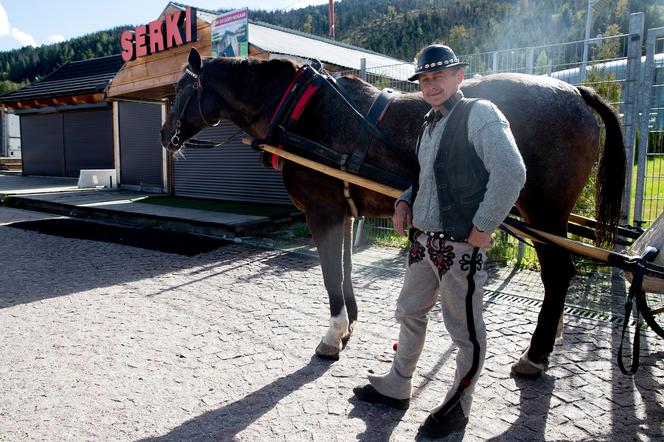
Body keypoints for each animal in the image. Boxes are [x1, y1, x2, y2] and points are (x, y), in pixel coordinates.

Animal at [158, 48, 624, 372]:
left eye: (180, 90)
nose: (165, 136)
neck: (301, 109)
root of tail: (574, 91)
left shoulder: (322, 211)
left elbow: (330, 276)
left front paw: (332, 335)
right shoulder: (343, 211)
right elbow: (343, 270)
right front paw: (348, 326)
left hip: (544, 212)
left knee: (559, 274)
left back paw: (536, 353)